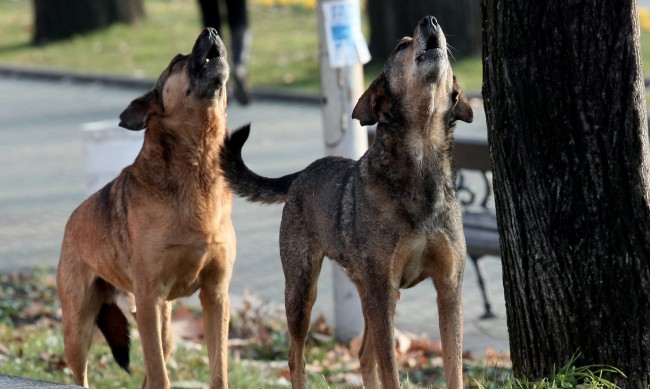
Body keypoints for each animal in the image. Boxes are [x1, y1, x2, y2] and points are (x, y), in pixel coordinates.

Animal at [57, 28, 235, 388]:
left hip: (163, 328)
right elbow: (159, 375)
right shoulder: (149, 298)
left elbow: (218, 370)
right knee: (84, 374)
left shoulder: (216, 296)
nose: (211, 30)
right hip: (78, 329)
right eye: (177, 61)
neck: (198, 166)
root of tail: (70, 223)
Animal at [219, 15, 470, 388]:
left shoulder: (448, 289)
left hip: (369, 295)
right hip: (303, 291)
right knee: (296, 357)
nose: (431, 20)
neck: (421, 163)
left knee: (363, 356)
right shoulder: (383, 291)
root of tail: (302, 173)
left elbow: (453, 368)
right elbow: (390, 372)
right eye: (401, 45)